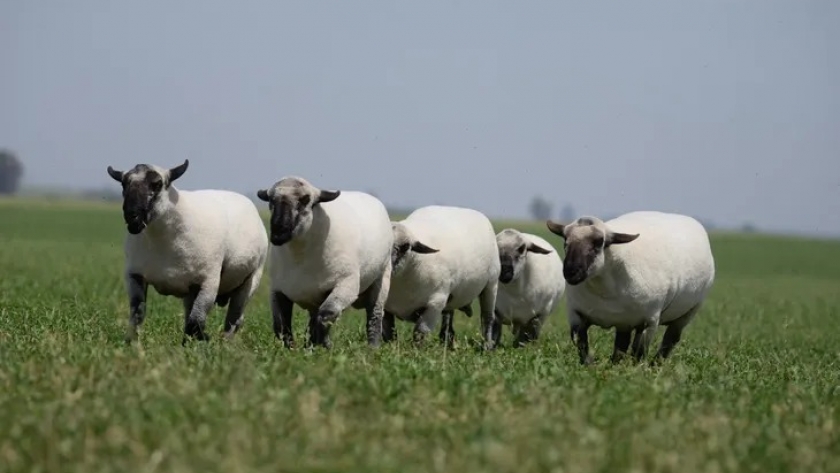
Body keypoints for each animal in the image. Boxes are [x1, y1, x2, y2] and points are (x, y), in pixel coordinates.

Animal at [106, 159, 270, 342]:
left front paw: (201, 341)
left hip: (251, 279)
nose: (132, 216)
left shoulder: (208, 282)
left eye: (157, 184)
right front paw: (131, 342)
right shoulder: (135, 276)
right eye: (124, 184)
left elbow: (196, 322)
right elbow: (137, 315)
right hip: (191, 290)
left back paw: (225, 342)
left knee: (234, 319)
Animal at [386, 205, 498, 348]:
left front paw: (415, 350)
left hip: (491, 284)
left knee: (487, 317)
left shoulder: (435, 303)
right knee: (448, 314)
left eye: (405, 247)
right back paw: (447, 340)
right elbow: (388, 331)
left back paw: (487, 345)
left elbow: (420, 332)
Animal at [544, 211, 716, 366]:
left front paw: (636, 371)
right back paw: (616, 365)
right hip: (625, 320)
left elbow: (640, 352)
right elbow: (582, 345)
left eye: (599, 242)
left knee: (670, 339)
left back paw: (656, 365)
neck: (604, 289)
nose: (571, 271)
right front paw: (588, 366)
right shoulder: (576, 315)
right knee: (622, 344)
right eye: (565, 241)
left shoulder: (650, 321)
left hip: (689, 312)